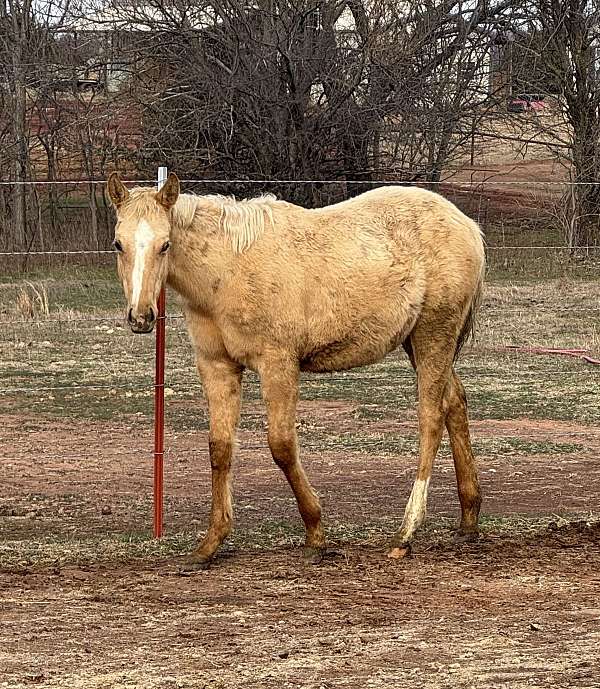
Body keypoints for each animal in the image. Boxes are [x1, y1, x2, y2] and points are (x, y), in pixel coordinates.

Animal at [106, 173, 482, 568]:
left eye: (165, 245)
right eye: (118, 244)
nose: (141, 316)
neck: (228, 268)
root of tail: (467, 226)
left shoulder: (278, 364)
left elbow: (282, 446)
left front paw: (316, 535)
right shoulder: (217, 366)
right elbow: (220, 448)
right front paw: (210, 544)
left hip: (432, 337)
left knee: (431, 420)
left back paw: (406, 533)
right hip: (419, 343)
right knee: (455, 403)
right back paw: (468, 520)